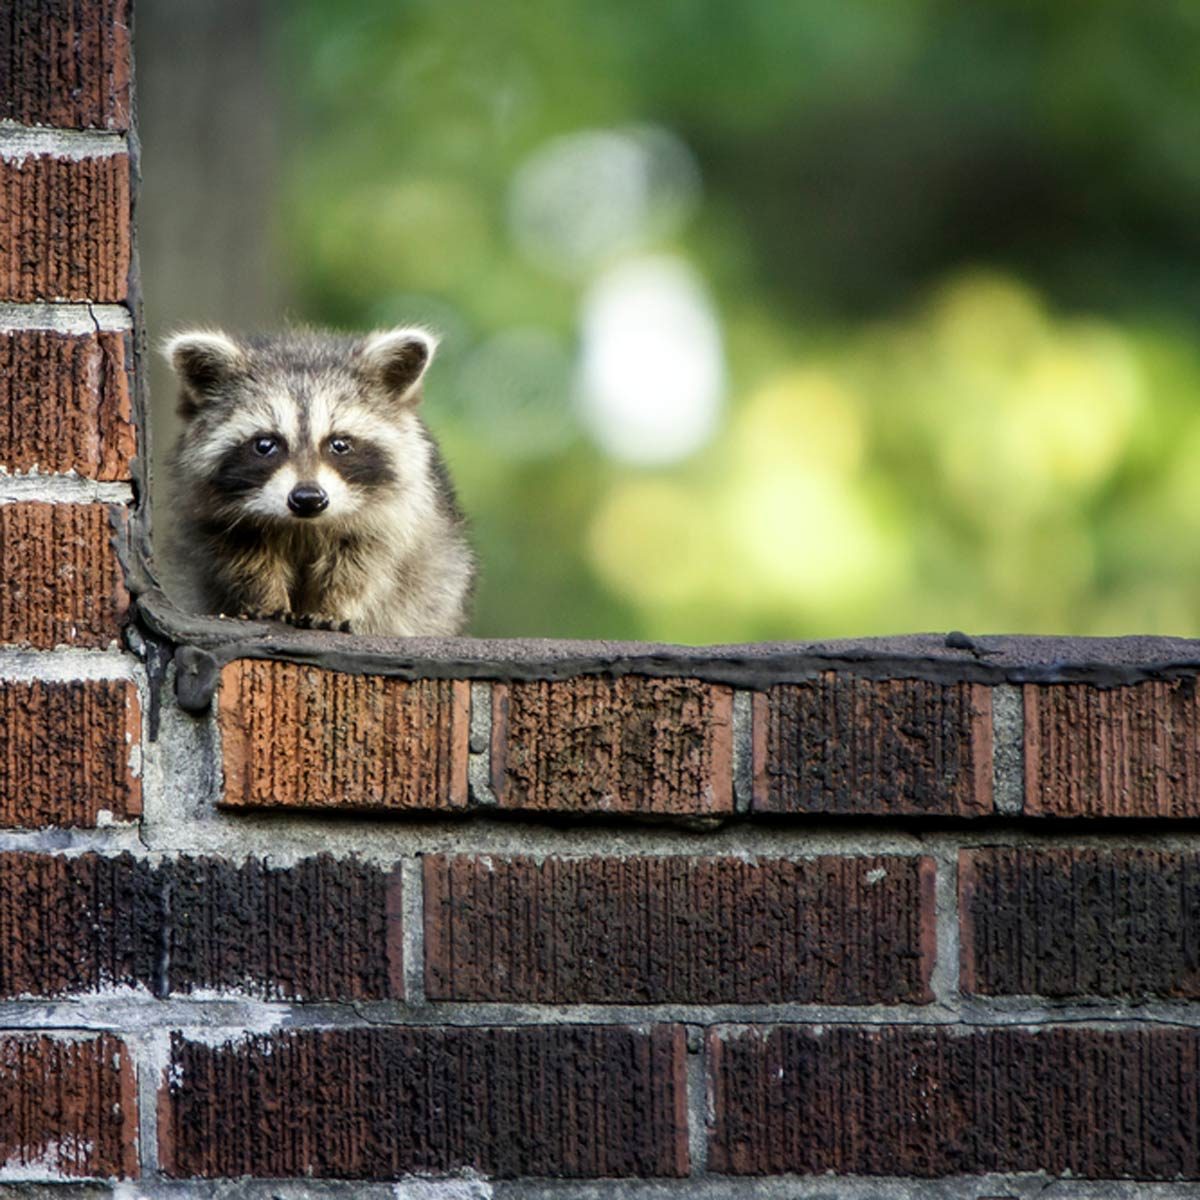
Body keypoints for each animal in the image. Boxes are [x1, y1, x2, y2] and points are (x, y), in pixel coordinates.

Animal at [163, 326, 474, 636]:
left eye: (339, 444)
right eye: (265, 445)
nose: (308, 499)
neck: (304, 526)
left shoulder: (393, 515)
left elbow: (363, 566)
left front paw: (333, 606)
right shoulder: (215, 516)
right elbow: (246, 559)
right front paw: (266, 598)